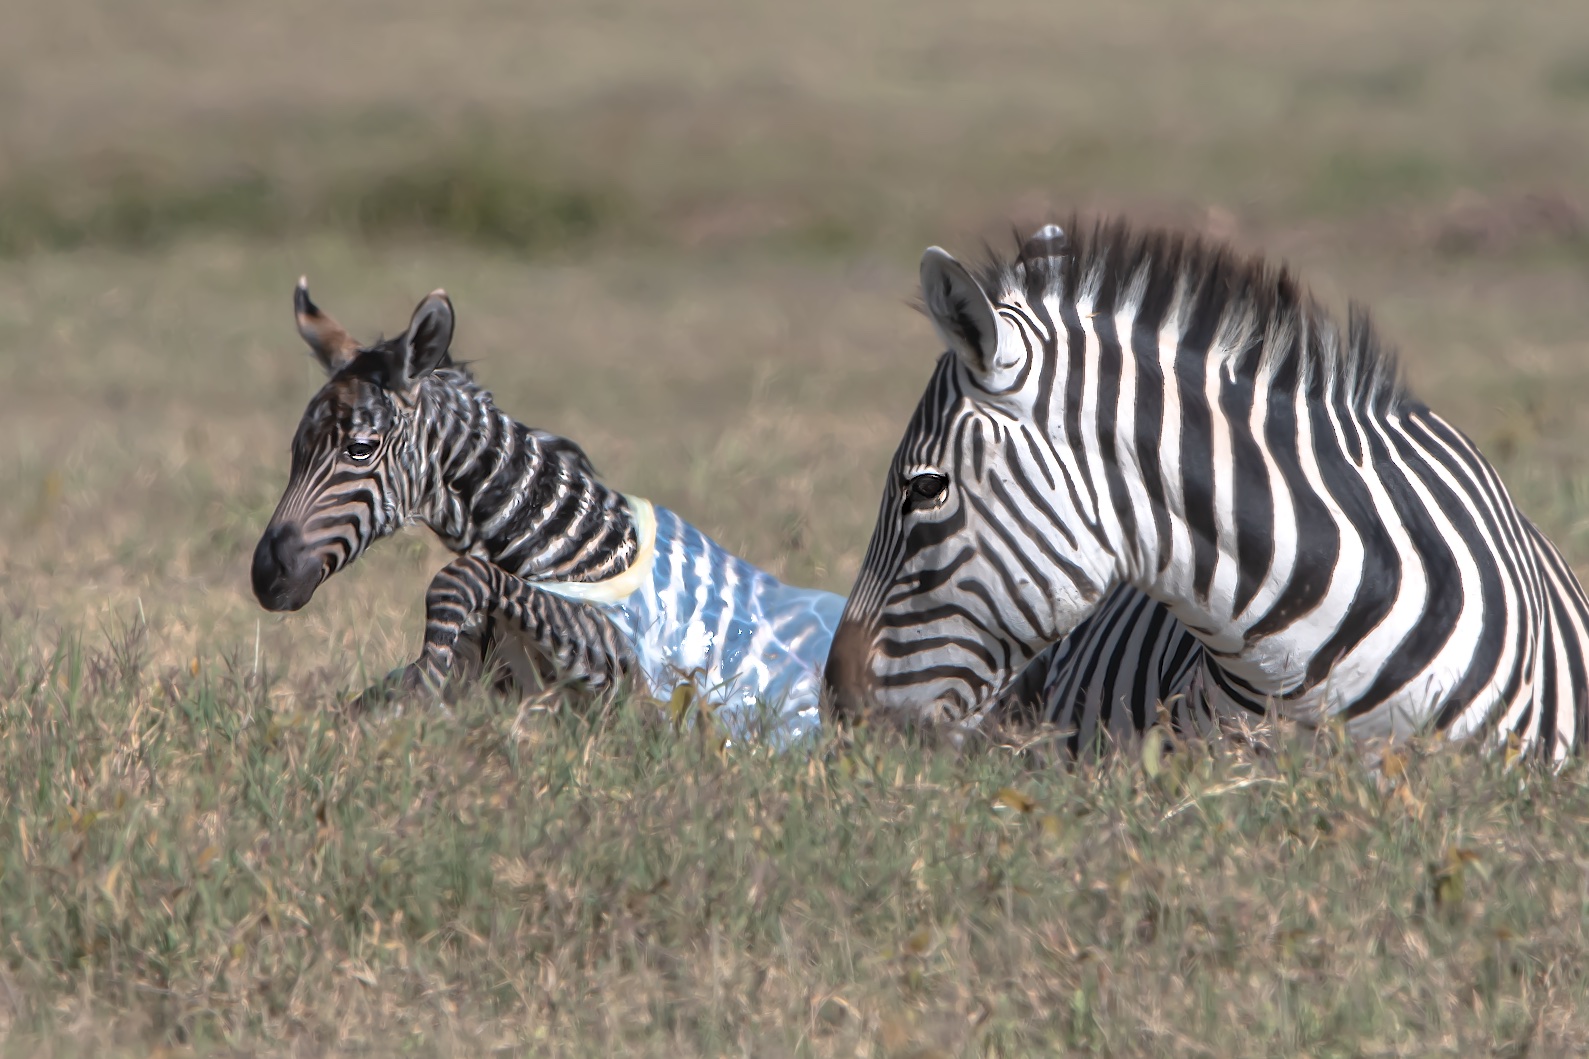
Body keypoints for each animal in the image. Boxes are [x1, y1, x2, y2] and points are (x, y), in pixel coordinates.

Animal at [250, 280, 844, 740]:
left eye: (360, 449)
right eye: (295, 450)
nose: (266, 575)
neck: (559, 541)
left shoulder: (621, 664)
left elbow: (459, 578)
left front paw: (422, 685)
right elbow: (360, 704)